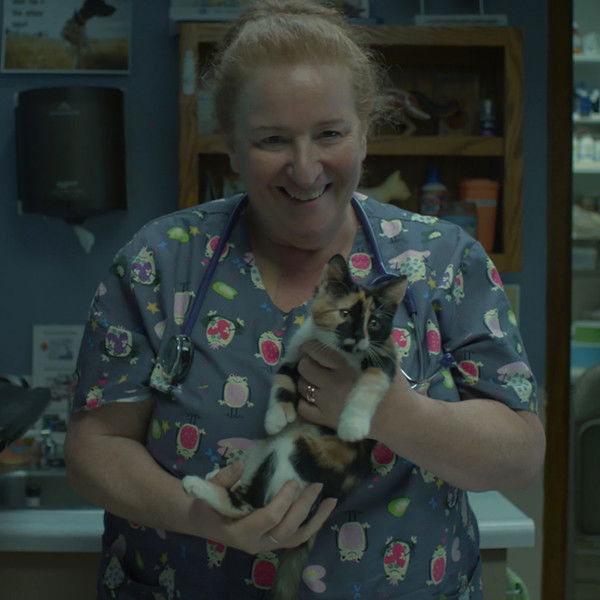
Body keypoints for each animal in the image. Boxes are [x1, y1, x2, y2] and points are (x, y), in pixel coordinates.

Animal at [182, 253, 407, 599]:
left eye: (374, 323)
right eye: (345, 314)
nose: (357, 339)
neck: (340, 353)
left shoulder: (384, 358)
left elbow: (368, 386)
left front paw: (353, 424)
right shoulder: (297, 353)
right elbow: (282, 380)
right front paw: (276, 416)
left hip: (298, 452)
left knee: (251, 506)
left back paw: (199, 485)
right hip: (271, 451)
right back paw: (216, 478)